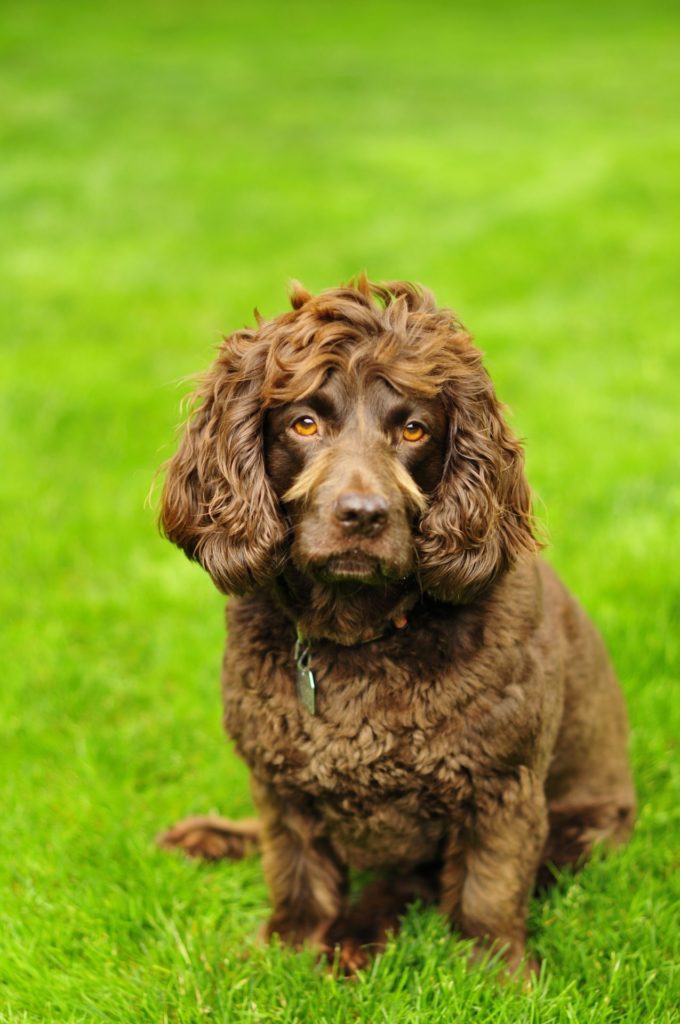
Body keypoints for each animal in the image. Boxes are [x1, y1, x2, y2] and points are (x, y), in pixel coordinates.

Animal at [156, 278, 634, 974]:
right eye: (304, 422)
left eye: (413, 429)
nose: (363, 514)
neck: (358, 638)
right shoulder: (279, 782)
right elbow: (294, 868)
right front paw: (287, 945)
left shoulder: (502, 786)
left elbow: (488, 889)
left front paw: (498, 974)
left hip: (586, 825)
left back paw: (356, 935)